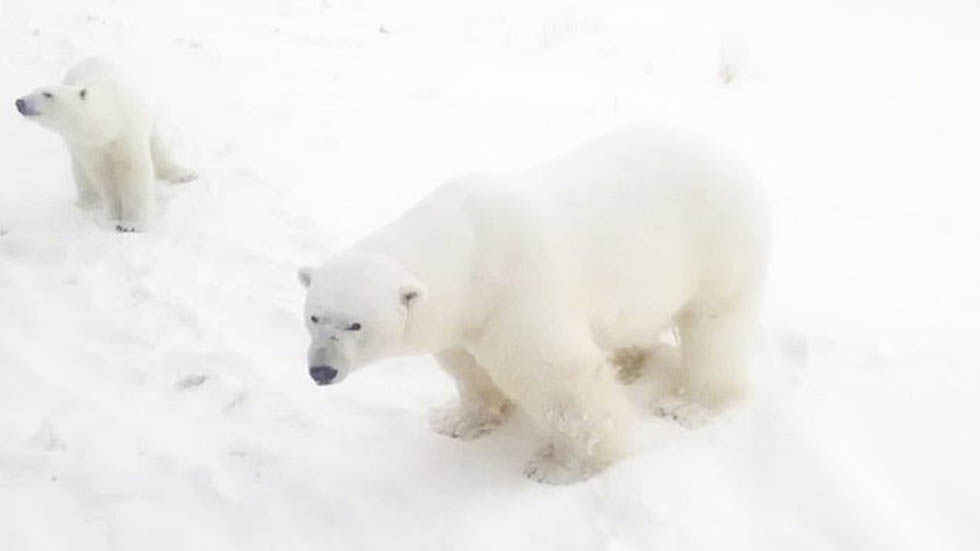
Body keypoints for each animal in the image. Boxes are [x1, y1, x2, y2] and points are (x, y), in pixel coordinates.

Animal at [15, 57, 196, 232]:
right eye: (33, 90)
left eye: (47, 94)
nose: (19, 102)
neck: (109, 123)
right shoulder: (87, 147)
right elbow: (103, 177)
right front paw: (113, 215)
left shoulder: (128, 133)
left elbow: (133, 171)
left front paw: (131, 224)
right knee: (80, 172)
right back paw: (88, 202)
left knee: (159, 146)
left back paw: (183, 173)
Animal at [297, 125, 770, 483]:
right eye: (315, 316)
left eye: (355, 324)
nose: (321, 370)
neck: (470, 250)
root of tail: (728, 155)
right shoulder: (466, 315)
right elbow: (468, 368)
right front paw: (456, 420)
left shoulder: (516, 294)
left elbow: (559, 378)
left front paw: (560, 466)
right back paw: (630, 363)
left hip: (715, 246)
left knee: (714, 327)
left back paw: (689, 404)